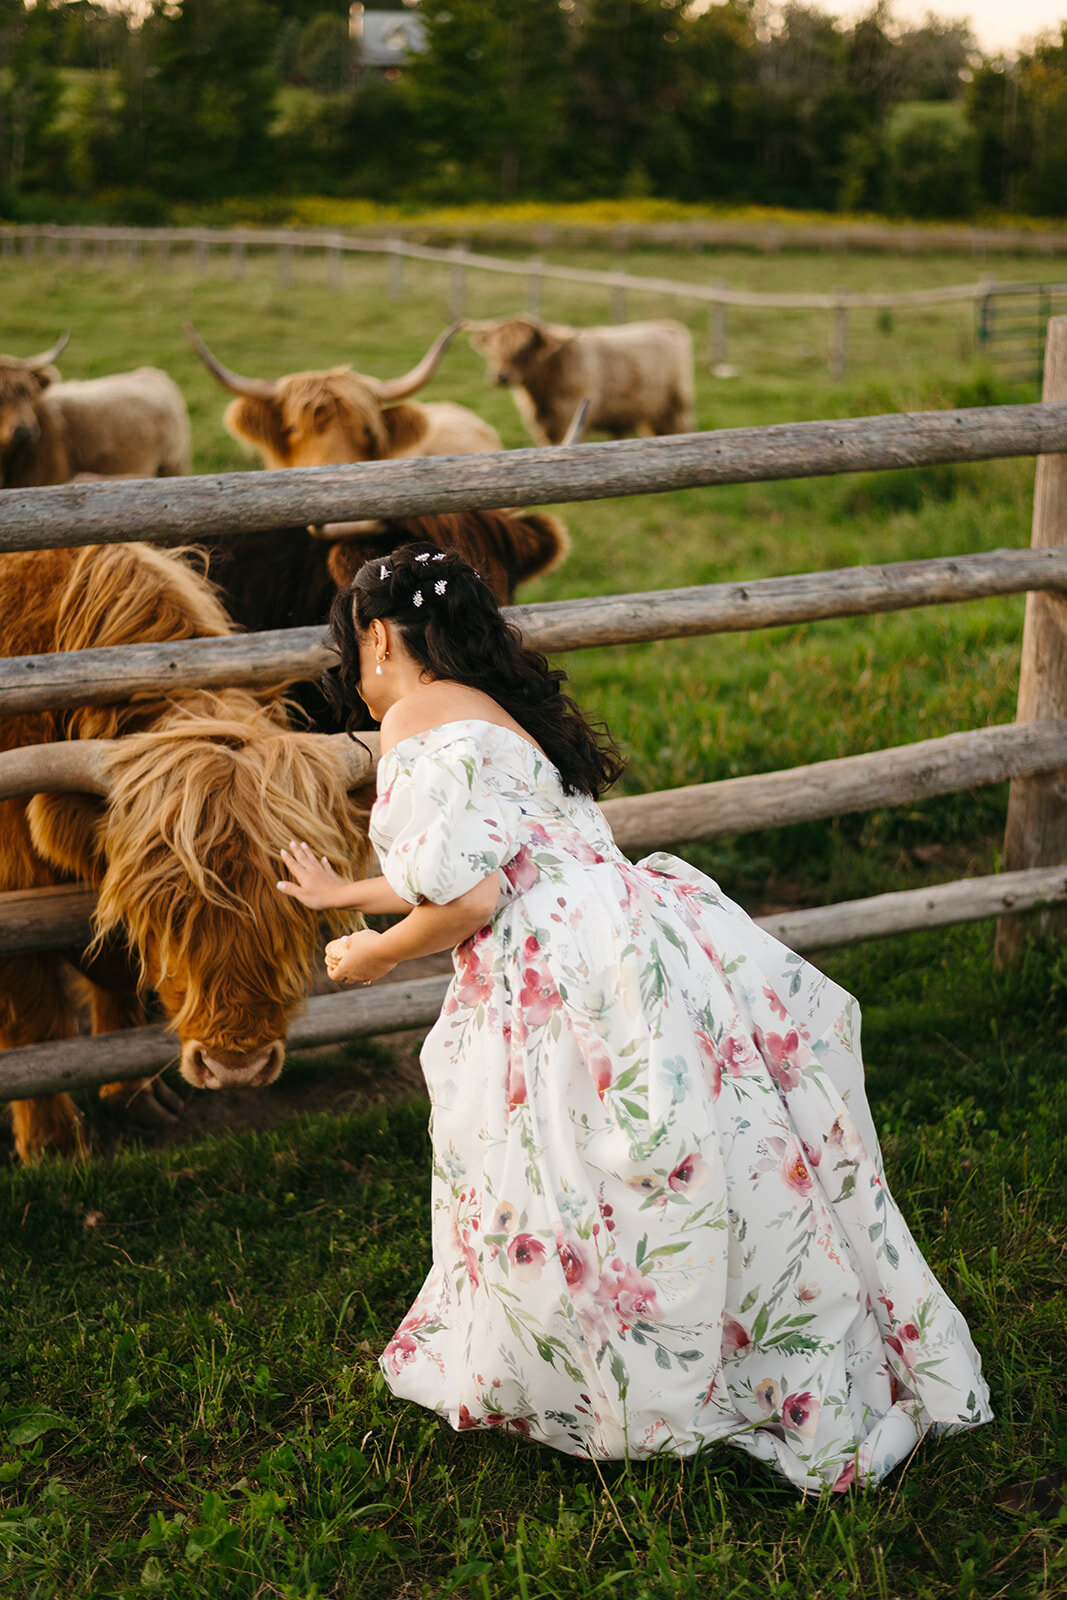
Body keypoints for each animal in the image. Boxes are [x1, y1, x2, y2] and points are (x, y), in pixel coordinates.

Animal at [0, 537, 374, 1164]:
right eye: (163, 912)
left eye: (297, 909)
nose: (237, 1066)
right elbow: (32, 1018)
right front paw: (53, 1145)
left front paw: (133, 1096)